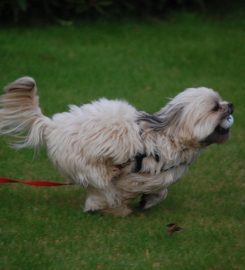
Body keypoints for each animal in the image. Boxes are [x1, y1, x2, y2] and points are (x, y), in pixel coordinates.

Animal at [0, 77, 234, 216]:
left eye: (221, 101)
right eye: (215, 107)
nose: (231, 105)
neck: (169, 134)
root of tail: (51, 125)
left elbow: (161, 190)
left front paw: (148, 201)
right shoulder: (137, 175)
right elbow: (129, 189)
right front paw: (126, 205)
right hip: (91, 164)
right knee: (102, 183)